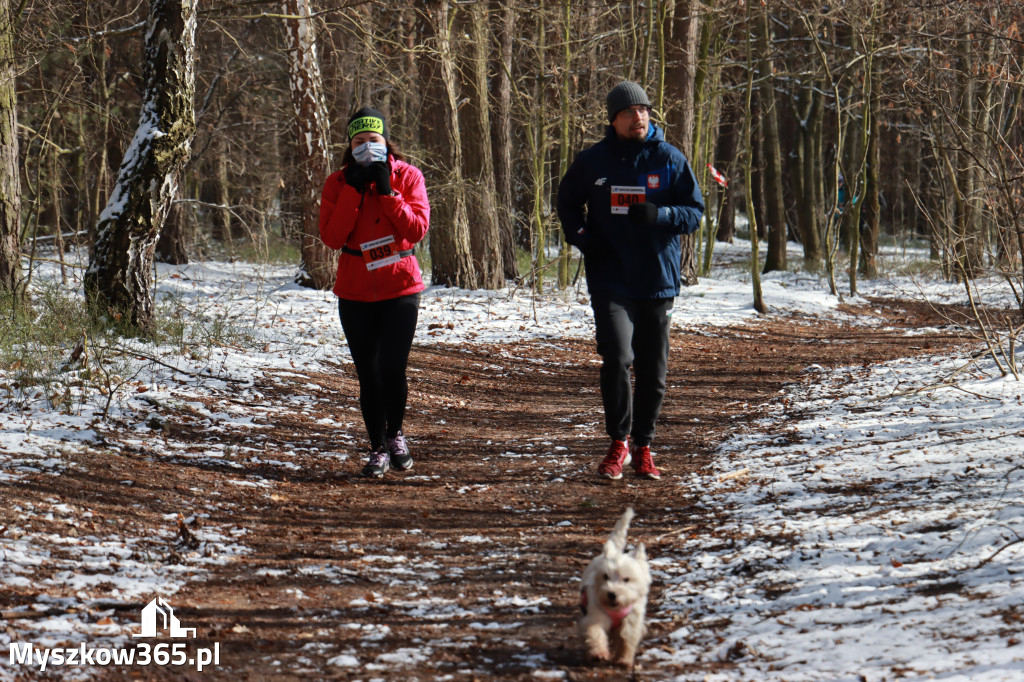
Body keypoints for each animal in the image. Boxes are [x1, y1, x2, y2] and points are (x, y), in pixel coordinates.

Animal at [581, 503, 651, 663]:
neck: (616, 608)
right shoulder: (596, 615)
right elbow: (596, 632)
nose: (611, 594)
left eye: (626, 579)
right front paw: (599, 653)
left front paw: (624, 659)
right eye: (605, 576)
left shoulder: (632, 620)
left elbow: (627, 639)